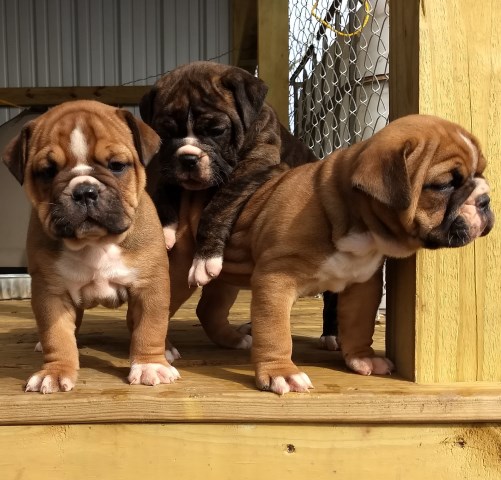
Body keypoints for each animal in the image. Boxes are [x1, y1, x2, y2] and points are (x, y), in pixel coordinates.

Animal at [2, 100, 180, 394]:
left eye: (117, 165)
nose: (84, 191)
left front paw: (149, 365)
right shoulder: (50, 291)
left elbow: (150, 326)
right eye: (47, 172)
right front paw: (55, 371)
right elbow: (57, 335)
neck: (95, 243)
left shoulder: (149, 286)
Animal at [168, 114, 492, 396]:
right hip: (179, 273)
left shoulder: (363, 283)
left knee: (208, 309)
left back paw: (233, 339)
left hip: (223, 276)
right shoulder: (275, 279)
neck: (350, 216)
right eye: (444, 185)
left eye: (480, 173)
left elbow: (359, 323)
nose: (486, 200)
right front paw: (281, 373)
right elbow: (275, 331)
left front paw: (362, 357)